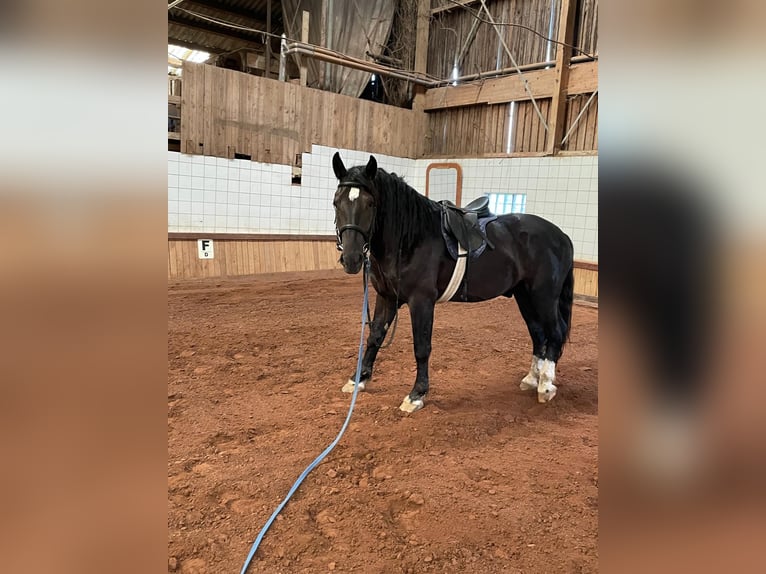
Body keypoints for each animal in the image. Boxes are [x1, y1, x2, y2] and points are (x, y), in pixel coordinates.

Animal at [332, 153, 572, 414]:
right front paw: (358, 380)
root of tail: (561, 235)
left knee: (555, 332)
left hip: (544, 296)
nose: (351, 259)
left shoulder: (421, 301)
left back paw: (545, 385)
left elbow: (422, 347)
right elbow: (375, 336)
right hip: (525, 296)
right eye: (336, 202)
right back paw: (531, 379)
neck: (410, 237)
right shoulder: (386, 297)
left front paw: (416, 394)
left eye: (370, 204)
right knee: (538, 333)